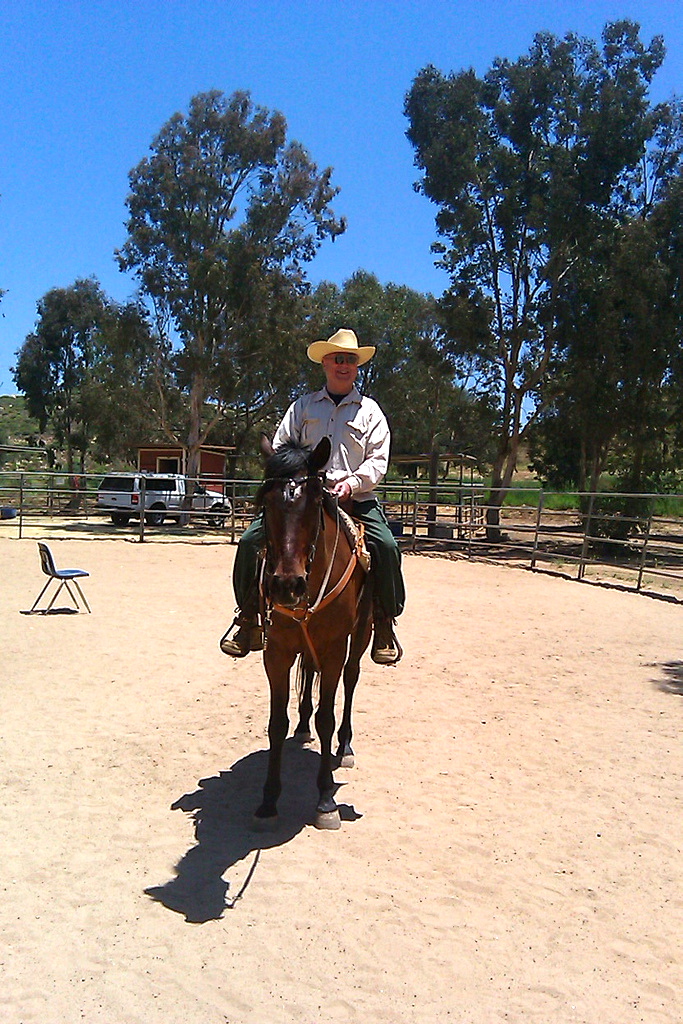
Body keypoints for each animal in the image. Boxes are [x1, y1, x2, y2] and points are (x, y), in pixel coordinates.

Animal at [254, 434, 373, 830]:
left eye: (314, 504)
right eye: (266, 503)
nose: (287, 585)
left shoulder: (334, 648)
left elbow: (327, 718)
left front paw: (325, 800)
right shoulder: (276, 651)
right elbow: (276, 723)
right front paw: (268, 799)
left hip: (361, 635)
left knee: (351, 679)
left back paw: (345, 747)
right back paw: (302, 727)